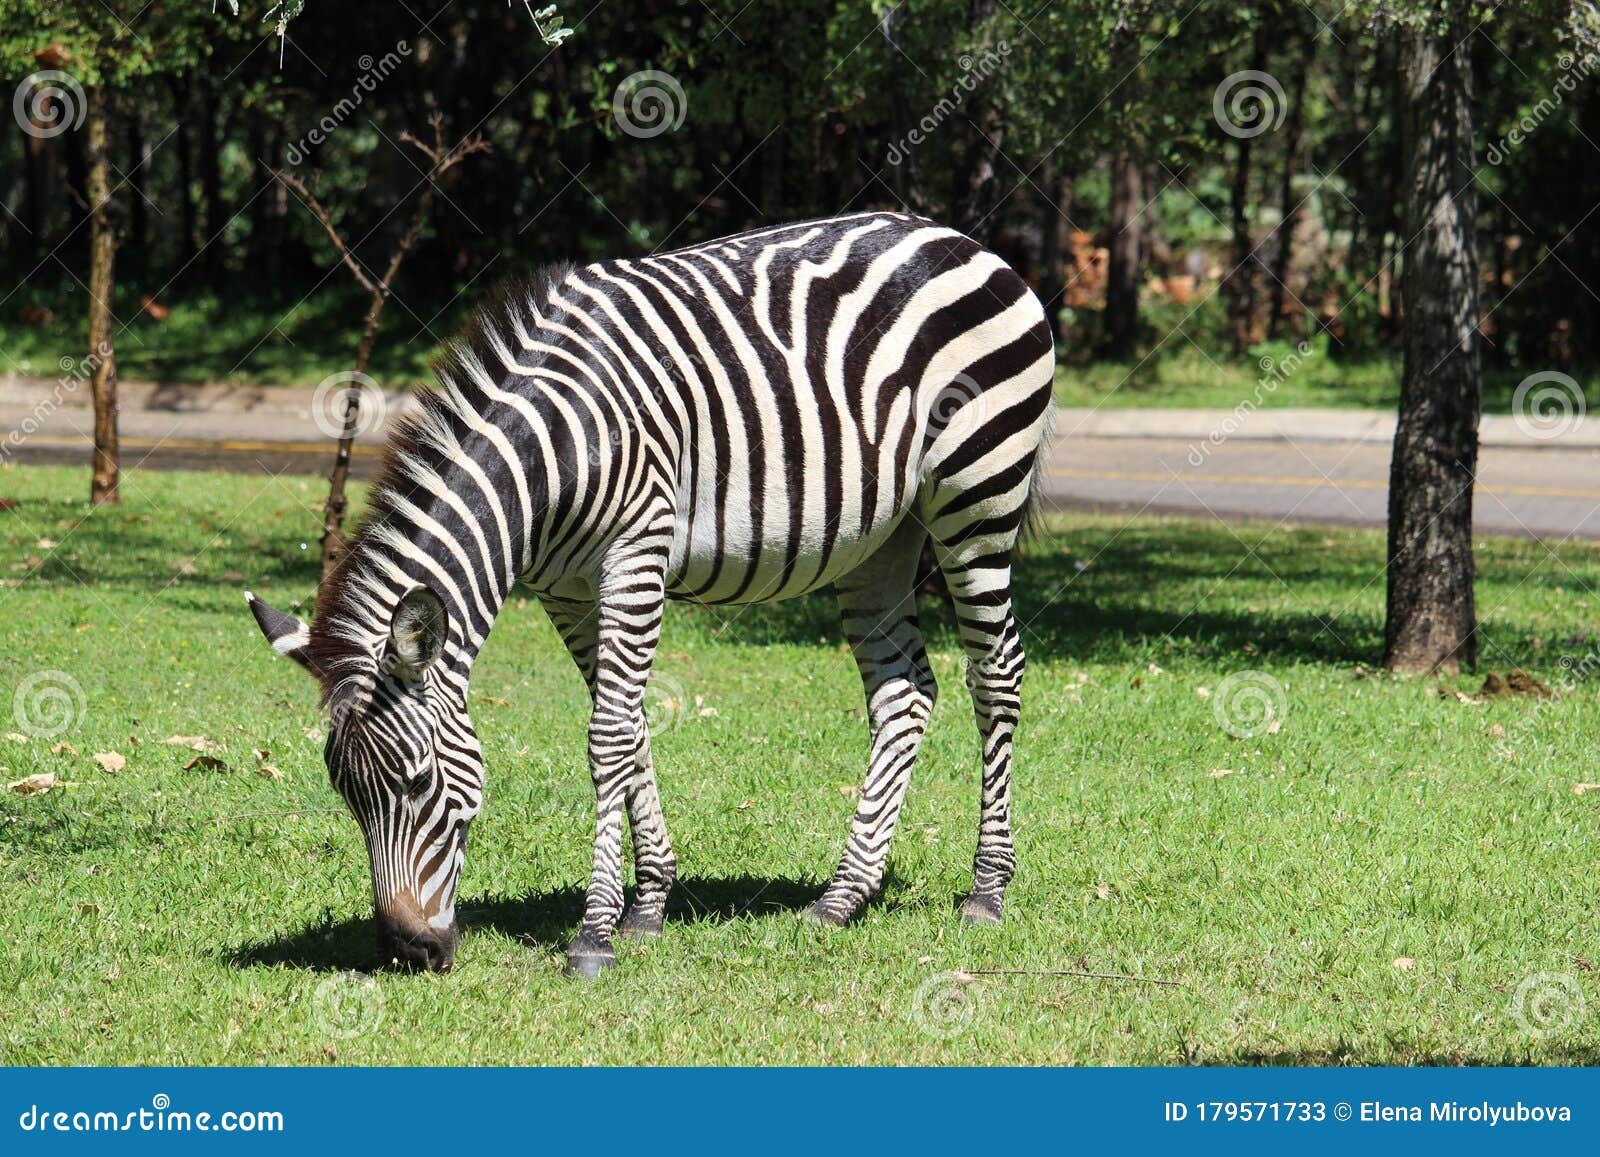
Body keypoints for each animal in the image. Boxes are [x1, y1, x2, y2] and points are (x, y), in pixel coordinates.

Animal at [247, 211, 1055, 977]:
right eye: (344, 794)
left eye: (417, 783)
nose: (407, 952)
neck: (551, 454)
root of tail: (957, 238)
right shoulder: (566, 591)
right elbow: (631, 726)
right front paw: (649, 904)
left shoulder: (634, 557)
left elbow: (607, 735)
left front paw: (595, 933)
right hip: (879, 538)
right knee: (904, 693)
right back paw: (842, 896)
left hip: (977, 493)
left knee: (996, 674)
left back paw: (987, 890)